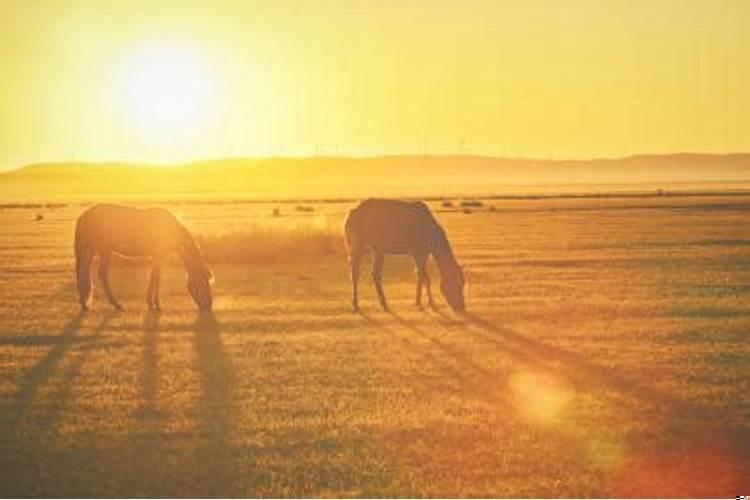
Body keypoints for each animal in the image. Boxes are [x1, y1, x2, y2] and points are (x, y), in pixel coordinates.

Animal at [75, 204, 214, 312]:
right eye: (203, 283)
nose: (208, 305)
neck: (170, 230)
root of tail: (83, 216)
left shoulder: (156, 258)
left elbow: (154, 278)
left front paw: (151, 303)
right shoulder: (158, 257)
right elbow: (157, 279)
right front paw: (156, 305)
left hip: (94, 249)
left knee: (85, 272)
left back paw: (85, 303)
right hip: (101, 249)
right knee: (98, 274)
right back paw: (114, 304)